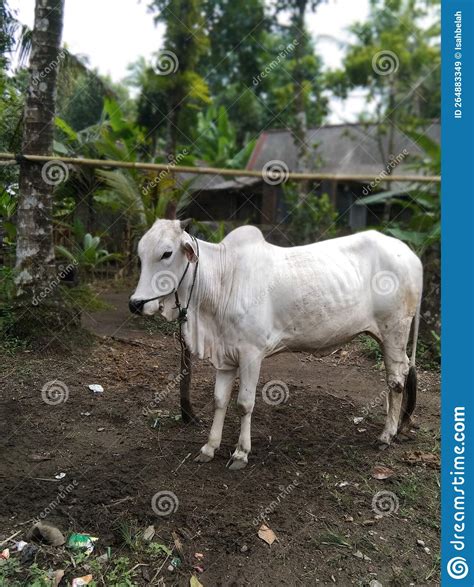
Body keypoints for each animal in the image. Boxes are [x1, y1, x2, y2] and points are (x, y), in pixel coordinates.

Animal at [130, 218, 422, 470]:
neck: (223, 280)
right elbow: (219, 400)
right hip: (386, 337)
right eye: (140, 256)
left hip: (395, 331)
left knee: (396, 380)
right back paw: (396, 426)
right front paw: (209, 447)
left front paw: (241, 453)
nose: (136, 304)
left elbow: (244, 404)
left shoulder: (251, 354)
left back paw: (386, 435)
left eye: (167, 253)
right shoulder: (224, 356)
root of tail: (410, 255)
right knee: (398, 375)